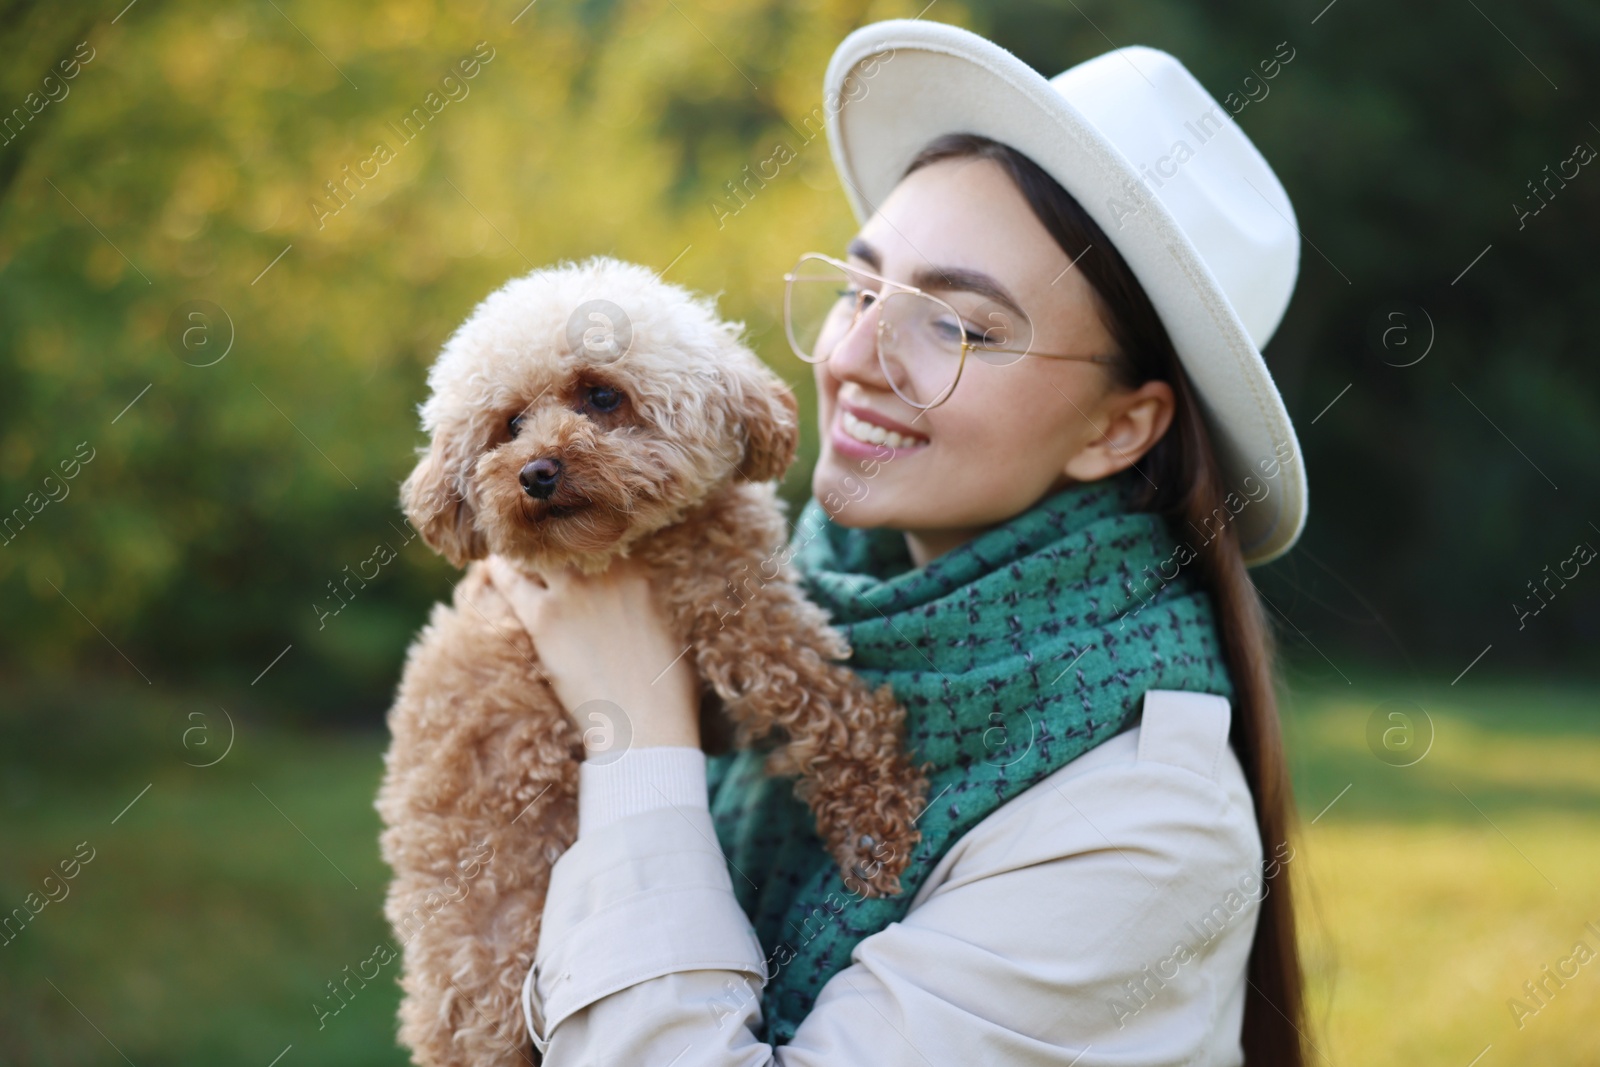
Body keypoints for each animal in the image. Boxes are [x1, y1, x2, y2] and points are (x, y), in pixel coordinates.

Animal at [374, 254, 928, 1062]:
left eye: (602, 395)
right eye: (509, 424)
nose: (535, 470)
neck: (630, 546)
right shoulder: (740, 616)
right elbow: (823, 699)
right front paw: (878, 826)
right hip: (494, 963)